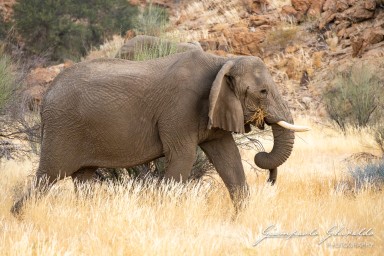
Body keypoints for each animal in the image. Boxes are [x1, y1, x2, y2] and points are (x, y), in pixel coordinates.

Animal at [12, 49, 308, 215]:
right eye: (263, 92)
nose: (270, 179)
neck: (223, 60)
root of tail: (46, 95)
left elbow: (228, 157)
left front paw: (241, 218)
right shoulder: (181, 109)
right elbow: (182, 158)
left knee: (83, 179)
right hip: (62, 129)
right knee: (48, 176)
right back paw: (18, 217)